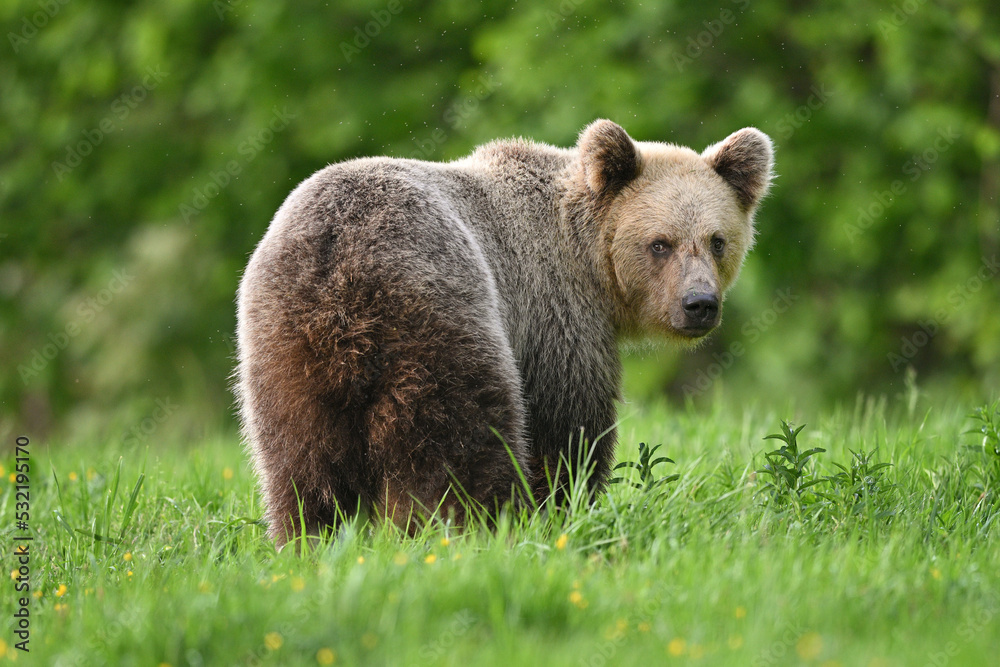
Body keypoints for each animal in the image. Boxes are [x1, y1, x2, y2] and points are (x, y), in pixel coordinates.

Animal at [236, 119, 774, 546]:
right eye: (660, 243)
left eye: (717, 241)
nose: (699, 304)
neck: (587, 263)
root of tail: (339, 265)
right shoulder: (554, 312)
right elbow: (567, 426)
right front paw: (563, 507)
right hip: (437, 309)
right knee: (460, 438)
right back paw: (469, 532)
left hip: (284, 348)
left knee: (301, 463)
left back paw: (311, 541)